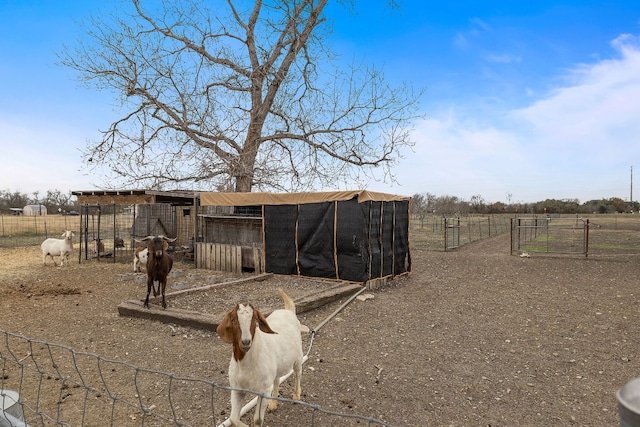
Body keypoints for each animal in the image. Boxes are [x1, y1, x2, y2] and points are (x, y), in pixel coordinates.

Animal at [216, 288, 304, 427]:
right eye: (233, 320)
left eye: (255, 320)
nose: (246, 342)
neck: (246, 365)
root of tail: (288, 311)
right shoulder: (237, 389)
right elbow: (233, 418)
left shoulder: (263, 391)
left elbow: (257, 420)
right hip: (276, 367)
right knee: (277, 379)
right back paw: (273, 403)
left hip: (298, 357)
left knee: (298, 373)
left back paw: (296, 395)